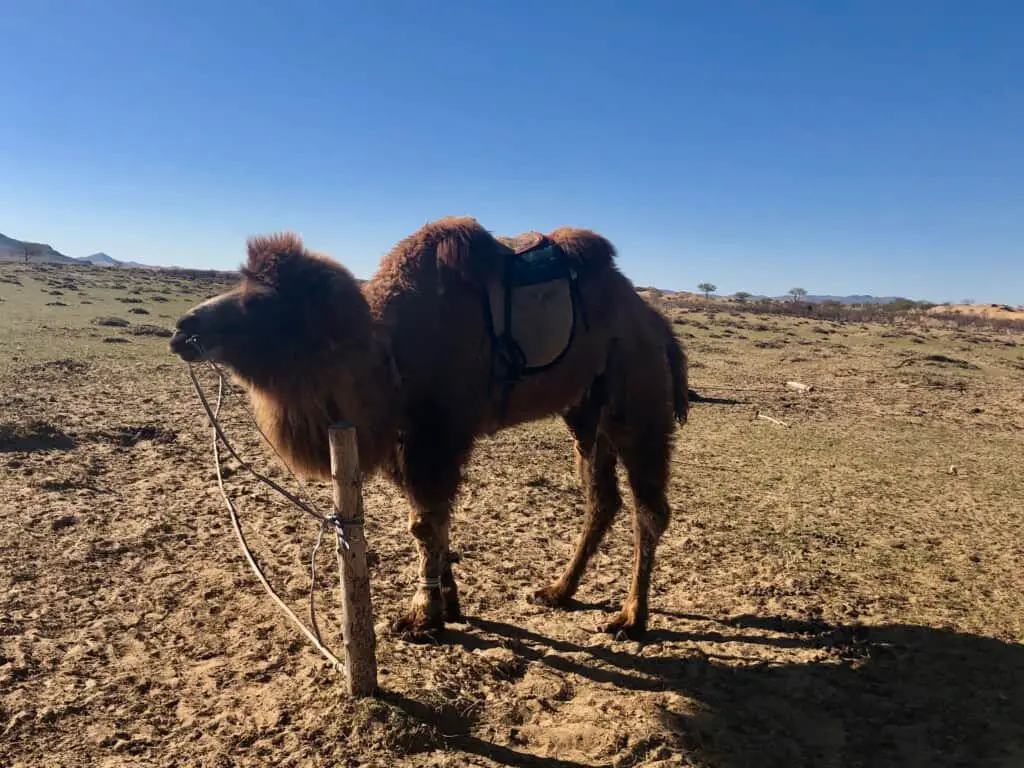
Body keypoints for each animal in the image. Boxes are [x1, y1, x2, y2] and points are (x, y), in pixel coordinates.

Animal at [172, 214, 692, 638]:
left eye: (260, 302)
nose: (183, 329)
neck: (386, 356)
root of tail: (657, 325)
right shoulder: (410, 438)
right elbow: (436, 519)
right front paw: (450, 602)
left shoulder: (439, 434)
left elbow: (423, 523)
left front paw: (422, 615)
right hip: (586, 415)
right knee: (602, 500)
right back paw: (557, 591)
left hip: (637, 398)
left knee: (650, 508)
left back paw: (630, 618)